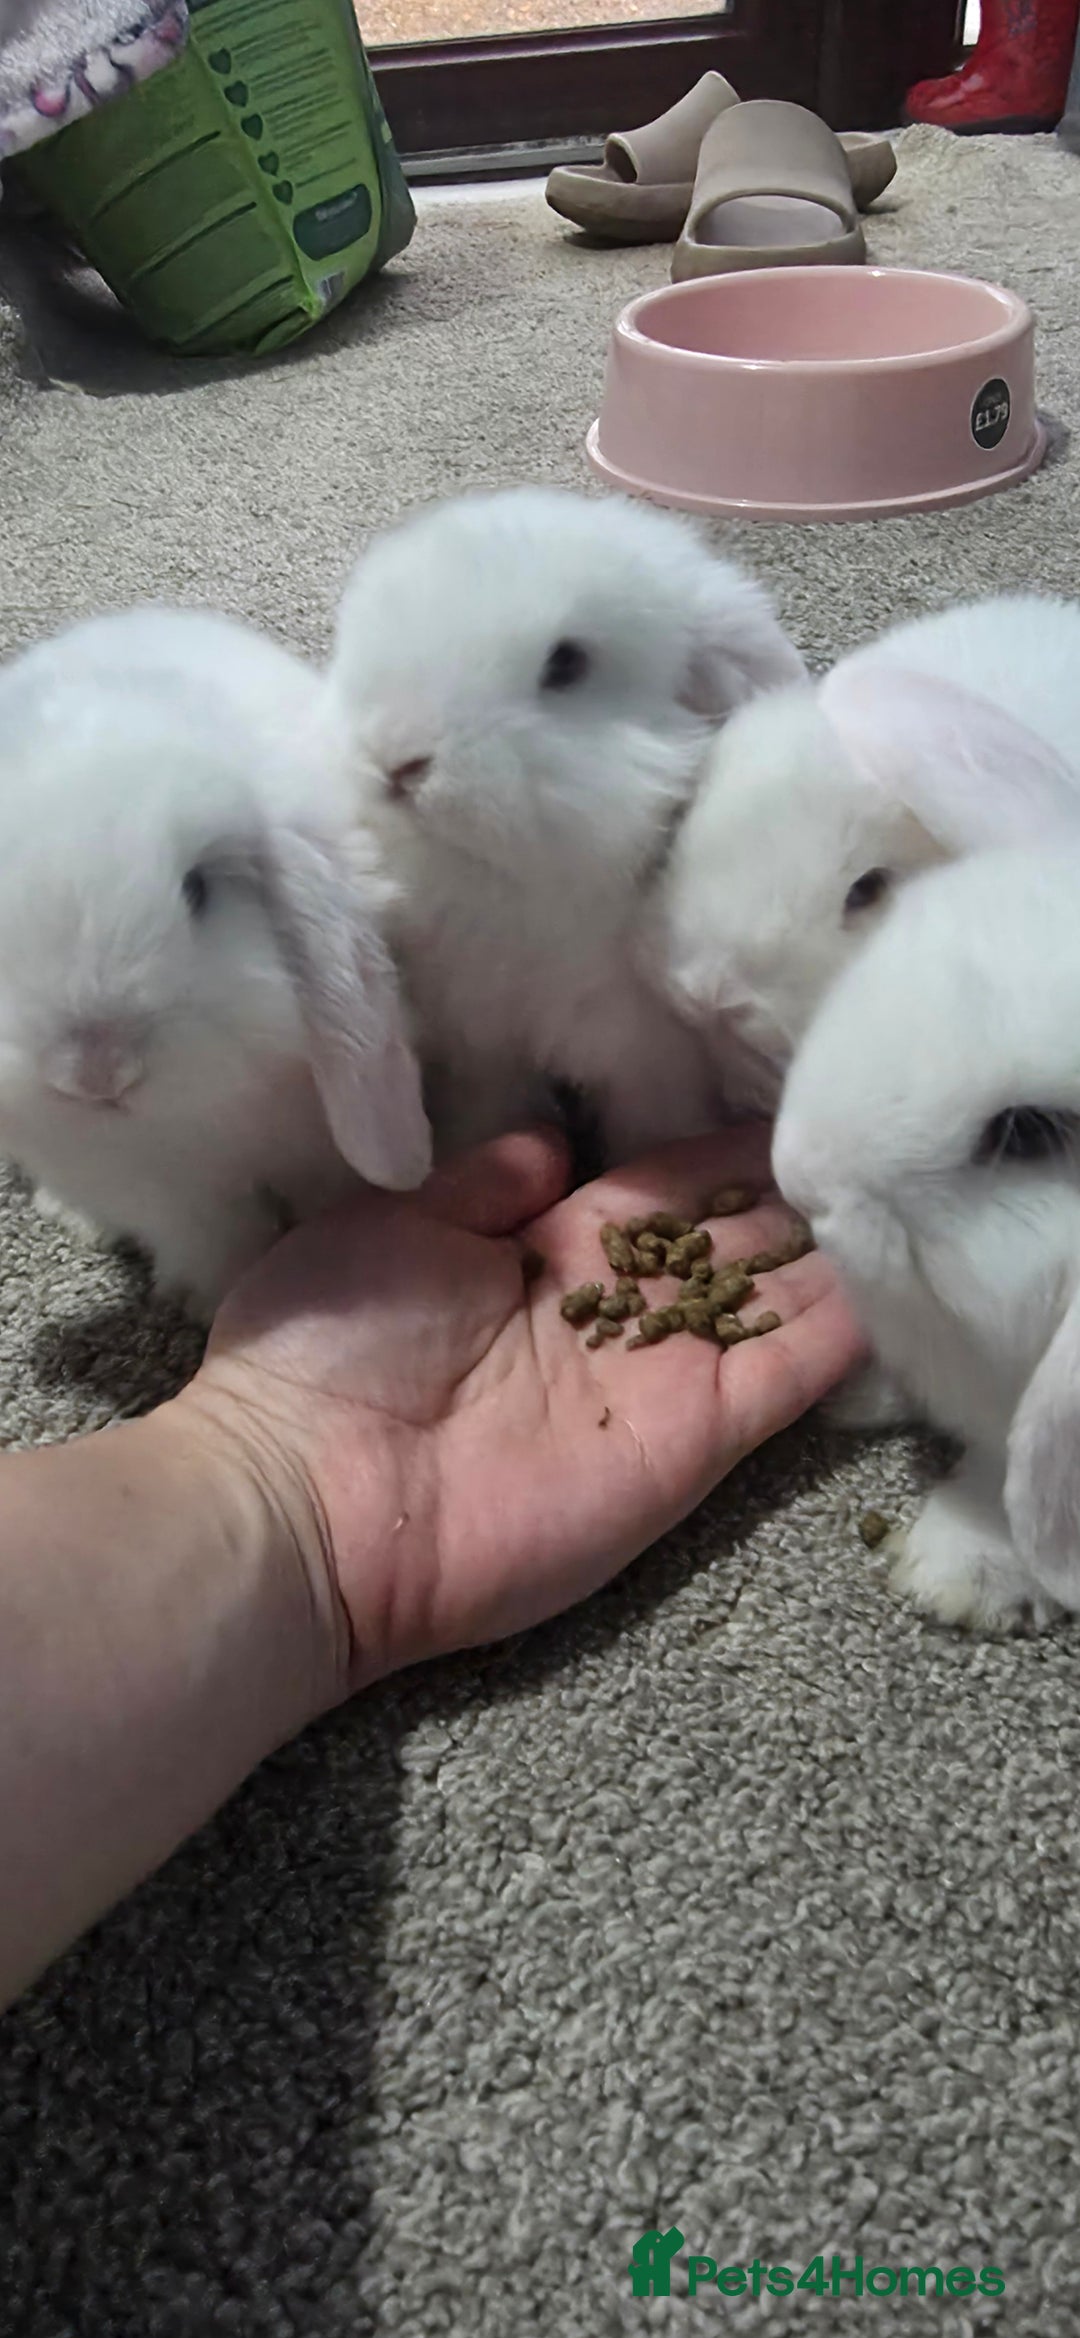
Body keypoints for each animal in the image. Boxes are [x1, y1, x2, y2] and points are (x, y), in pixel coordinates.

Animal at [0, 605, 431, 1313]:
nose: (96, 1073)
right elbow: (217, 1243)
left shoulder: (316, 1151)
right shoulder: (166, 1196)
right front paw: (215, 1301)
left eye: (198, 890)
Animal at [327, 485, 806, 1161]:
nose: (396, 760)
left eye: (567, 663)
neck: (514, 892)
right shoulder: (482, 1048)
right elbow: (487, 1111)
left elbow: (655, 1128)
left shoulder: (652, 1058)